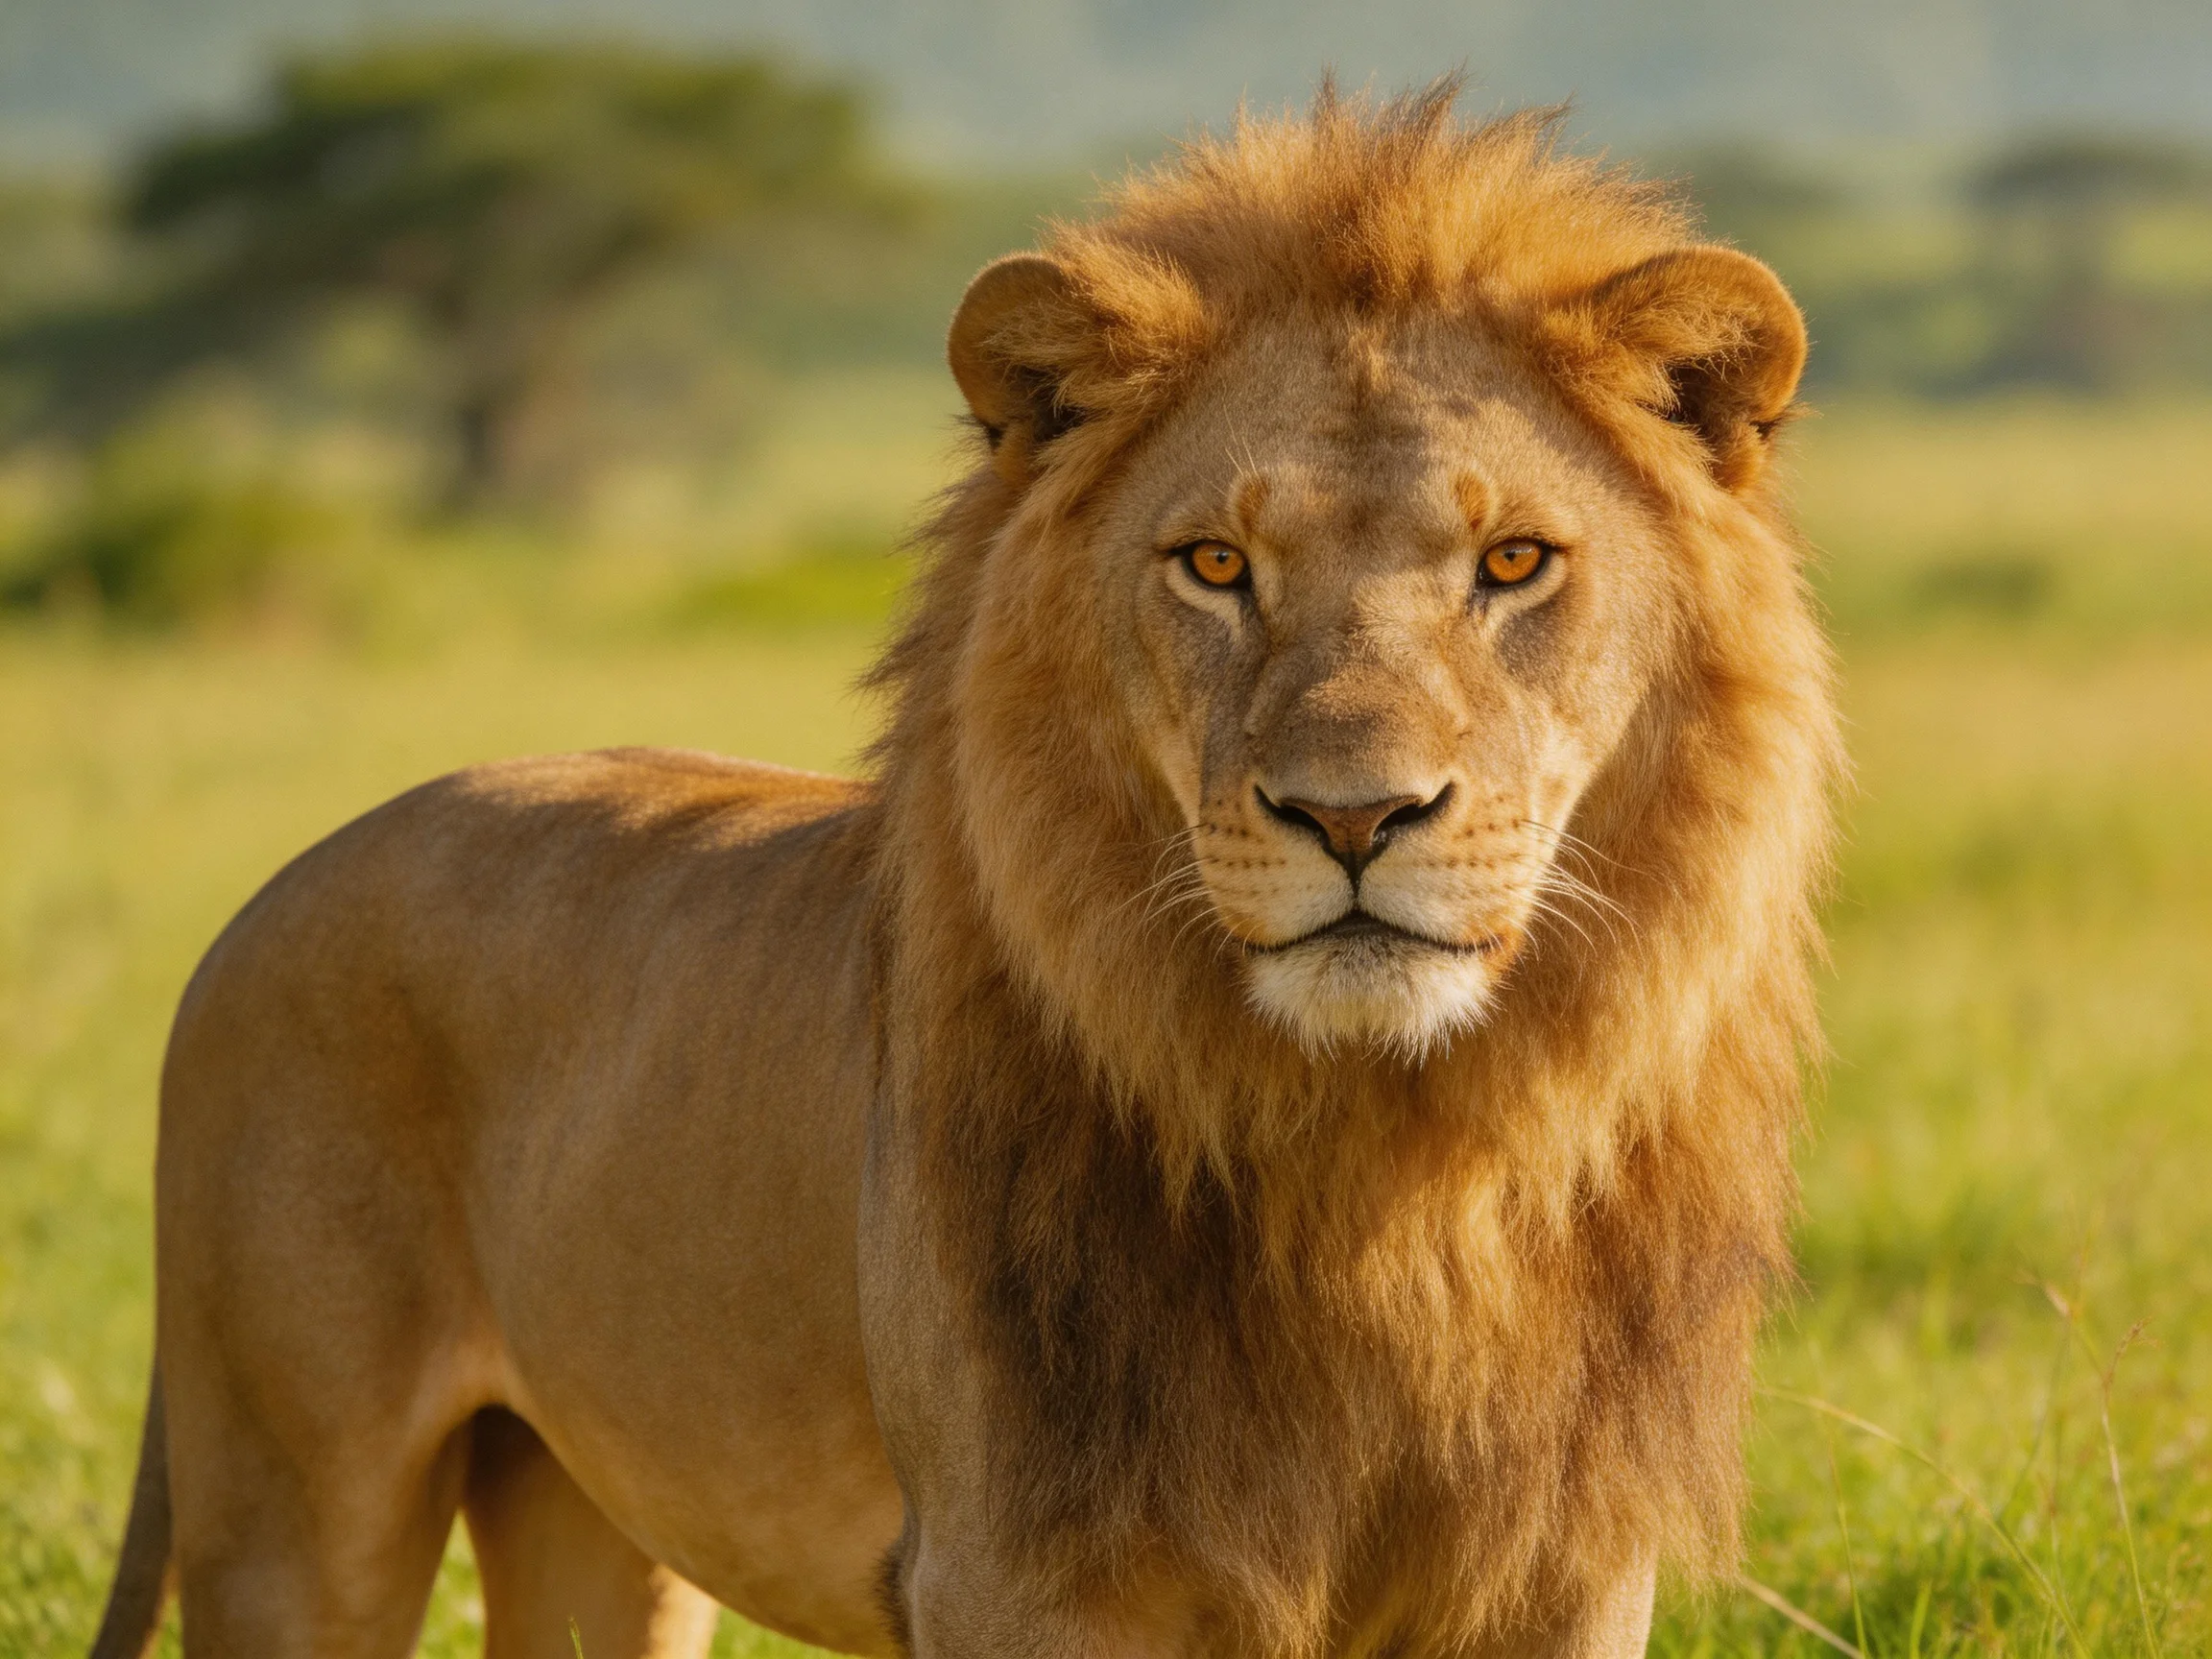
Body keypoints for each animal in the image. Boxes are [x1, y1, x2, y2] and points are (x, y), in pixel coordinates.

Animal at [89, 85, 1838, 1659]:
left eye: (1513, 562)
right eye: (1215, 564)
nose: (1353, 818)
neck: (1390, 1171)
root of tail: (275, 888)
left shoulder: (1561, 1569)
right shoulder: (1016, 1569)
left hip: (588, 1525)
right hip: (293, 1511)